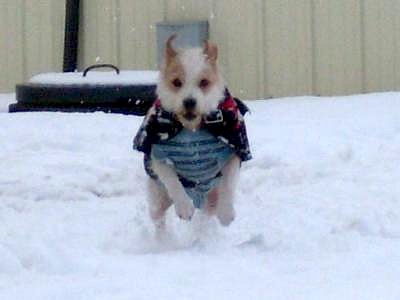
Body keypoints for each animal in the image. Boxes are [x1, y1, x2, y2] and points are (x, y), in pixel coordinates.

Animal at [134, 35, 250, 232]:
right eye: (176, 82)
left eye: (204, 82)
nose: (189, 102)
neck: (192, 128)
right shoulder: (156, 152)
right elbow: (172, 179)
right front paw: (184, 207)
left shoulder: (235, 147)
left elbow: (228, 182)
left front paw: (227, 213)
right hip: (158, 198)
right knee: (159, 219)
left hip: (211, 200)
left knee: (207, 215)